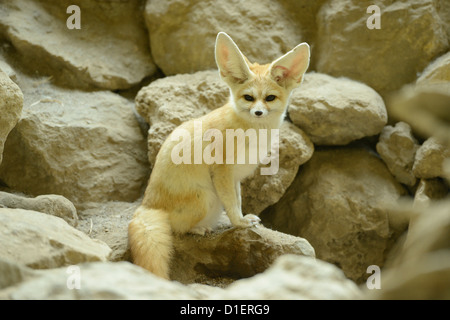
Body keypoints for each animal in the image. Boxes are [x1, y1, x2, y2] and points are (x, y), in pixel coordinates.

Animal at [127, 31, 310, 278]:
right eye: (249, 98)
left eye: (270, 98)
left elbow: (238, 199)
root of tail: (147, 204)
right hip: (206, 197)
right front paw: (240, 223)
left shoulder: (235, 177)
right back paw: (199, 228)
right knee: (178, 229)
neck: (253, 132)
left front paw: (243, 218)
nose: (258, 112)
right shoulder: (222, 171)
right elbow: (232, 204)